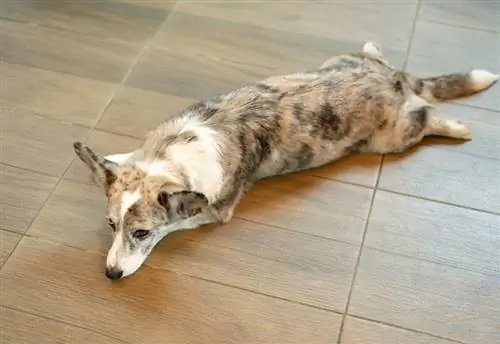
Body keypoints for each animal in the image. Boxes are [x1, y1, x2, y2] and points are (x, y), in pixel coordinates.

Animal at [72, 41, 498, 280]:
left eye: (143, 233)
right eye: (110, 224)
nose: (110, 275)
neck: (170, 157)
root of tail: (396, 78)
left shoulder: (214, 210)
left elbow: (179, 219)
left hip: (390, 138)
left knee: (425, 115)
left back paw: (455, 126)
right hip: (339, 61)